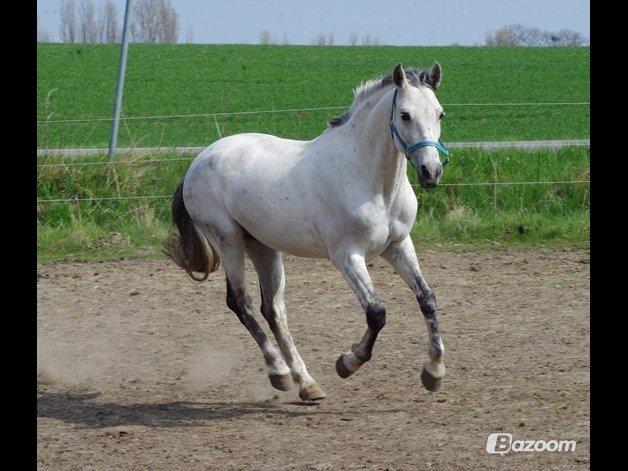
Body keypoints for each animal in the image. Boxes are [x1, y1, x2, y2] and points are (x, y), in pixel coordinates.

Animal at [167, 63, 448, 402]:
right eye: (405, 115)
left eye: (440, 113)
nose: (431, 172)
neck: (372, 182)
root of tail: (197, 161)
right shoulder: (347, 256)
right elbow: (376, 313)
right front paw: (348, 363)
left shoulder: (398, 245)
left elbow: (427, 298)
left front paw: (433, 372)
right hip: (228, 241)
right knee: (241, 303)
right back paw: (279, 372)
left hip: (262, 245)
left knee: (273, 310)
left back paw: (306, 383)